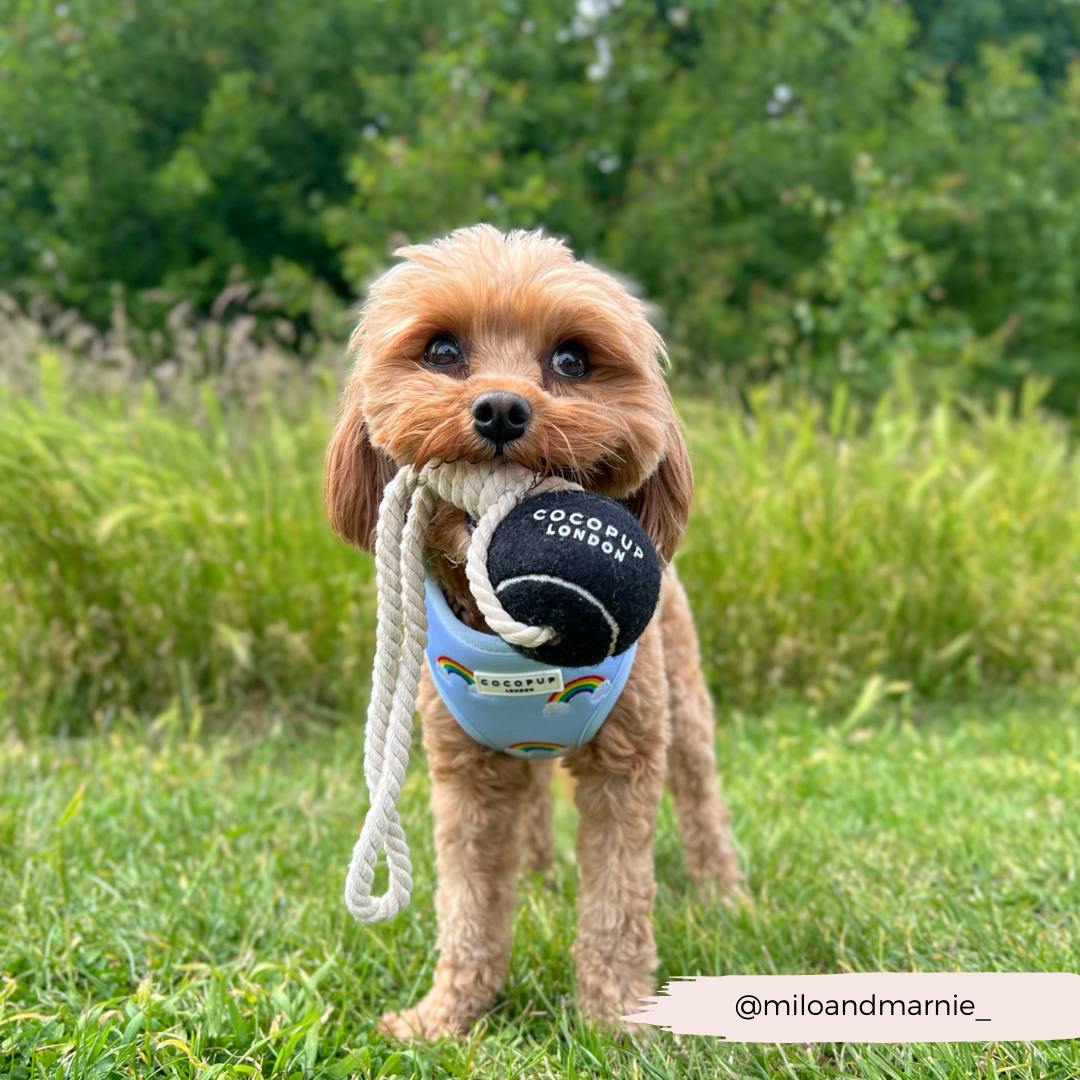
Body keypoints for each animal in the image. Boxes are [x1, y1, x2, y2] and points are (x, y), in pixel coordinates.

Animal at [324, 225, 738, 1036]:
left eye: (571, 360)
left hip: (684, 704)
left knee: (702, 798)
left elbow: (616, 905)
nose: (501, 410)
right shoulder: (466, 777)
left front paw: (616, 1018)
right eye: (442, 350)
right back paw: (542, 876)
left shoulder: (625, 764)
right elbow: (470, 907)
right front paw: (446, 1016)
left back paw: (725, 895)